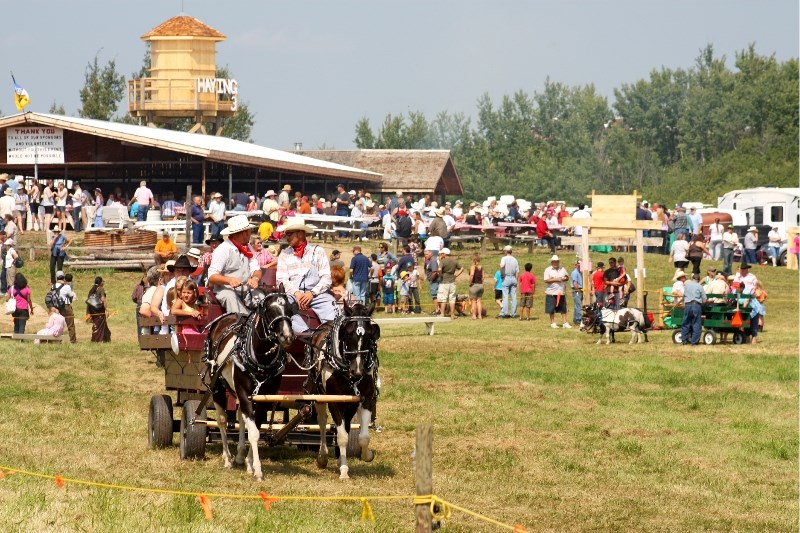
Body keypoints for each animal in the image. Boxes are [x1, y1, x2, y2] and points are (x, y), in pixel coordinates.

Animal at [205, 288, 296, 480]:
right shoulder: (244, 393)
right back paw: (228, 458)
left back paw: (239, 456)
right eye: (269, 310)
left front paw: (249, 462)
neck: (260, 359)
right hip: (217, 386)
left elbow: (255, 427)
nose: (287, 336)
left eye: (290, 309)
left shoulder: (263, 398)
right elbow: (253, 431)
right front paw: (258, 470)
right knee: (222, 420)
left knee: (241, 418)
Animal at [306, 300, 382, 478]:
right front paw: (344, 471)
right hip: (318, 394)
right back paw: (323, 457)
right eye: (347, 334)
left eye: (370, 335)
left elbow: (363, 436)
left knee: (347, 425)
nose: (357, 371)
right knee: (322, 422)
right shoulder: (334, 400)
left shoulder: (366, 398)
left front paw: (366, 455)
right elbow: (341, 437)